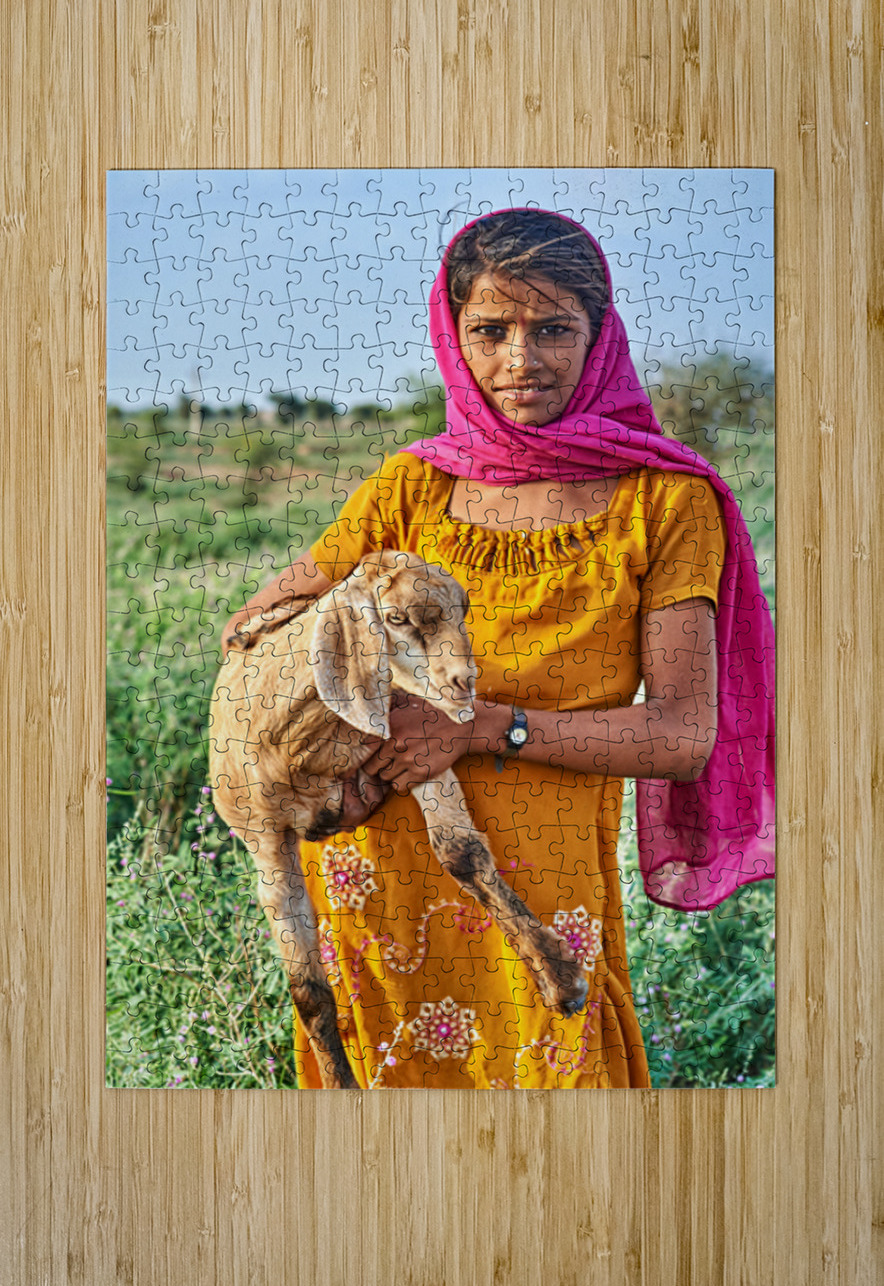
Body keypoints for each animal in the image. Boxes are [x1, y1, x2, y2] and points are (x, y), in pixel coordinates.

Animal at [208, 550, 588, 1088]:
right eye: (395, 618)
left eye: (463, 609)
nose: (463, 683)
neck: (303, 747)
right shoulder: (264, 840)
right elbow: (309, 992)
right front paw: (339, 1083)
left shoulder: (415, 741)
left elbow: (461, 850)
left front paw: (561, 977)